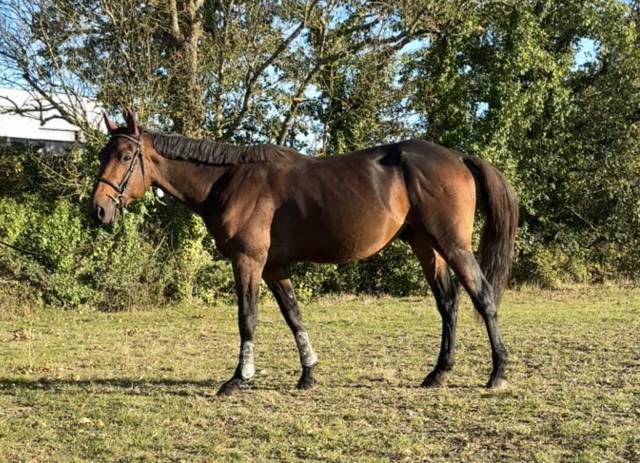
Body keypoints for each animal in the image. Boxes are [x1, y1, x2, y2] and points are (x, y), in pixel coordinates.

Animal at [92, 109, 518, 396]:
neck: (230, 181)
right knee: (448, 303)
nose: (98, 209)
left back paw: (497, 373)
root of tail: (457, 156)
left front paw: (238, 378)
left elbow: (247, 318)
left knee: (483, 298)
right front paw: (308, 373)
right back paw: (439, 372)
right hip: (425, 245)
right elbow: (293, 315)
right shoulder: (274, 266)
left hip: (452, 244)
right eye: (102, 155)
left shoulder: (248, 261)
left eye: (125, 156)